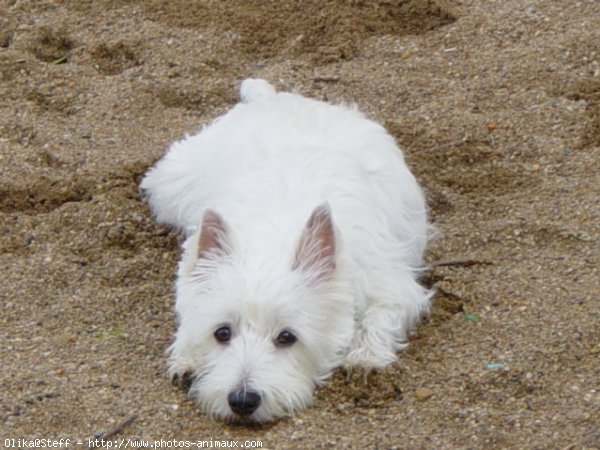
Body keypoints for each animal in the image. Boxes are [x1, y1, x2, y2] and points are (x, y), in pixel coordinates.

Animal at [141, 78, 432, 422]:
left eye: (287, 337)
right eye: (222, 333)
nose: (242, 400)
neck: (275, 236)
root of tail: (267, 98)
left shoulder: (392, 283)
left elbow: (382, 315)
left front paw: (365, 356)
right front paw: (187, 358)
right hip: (170, 189)